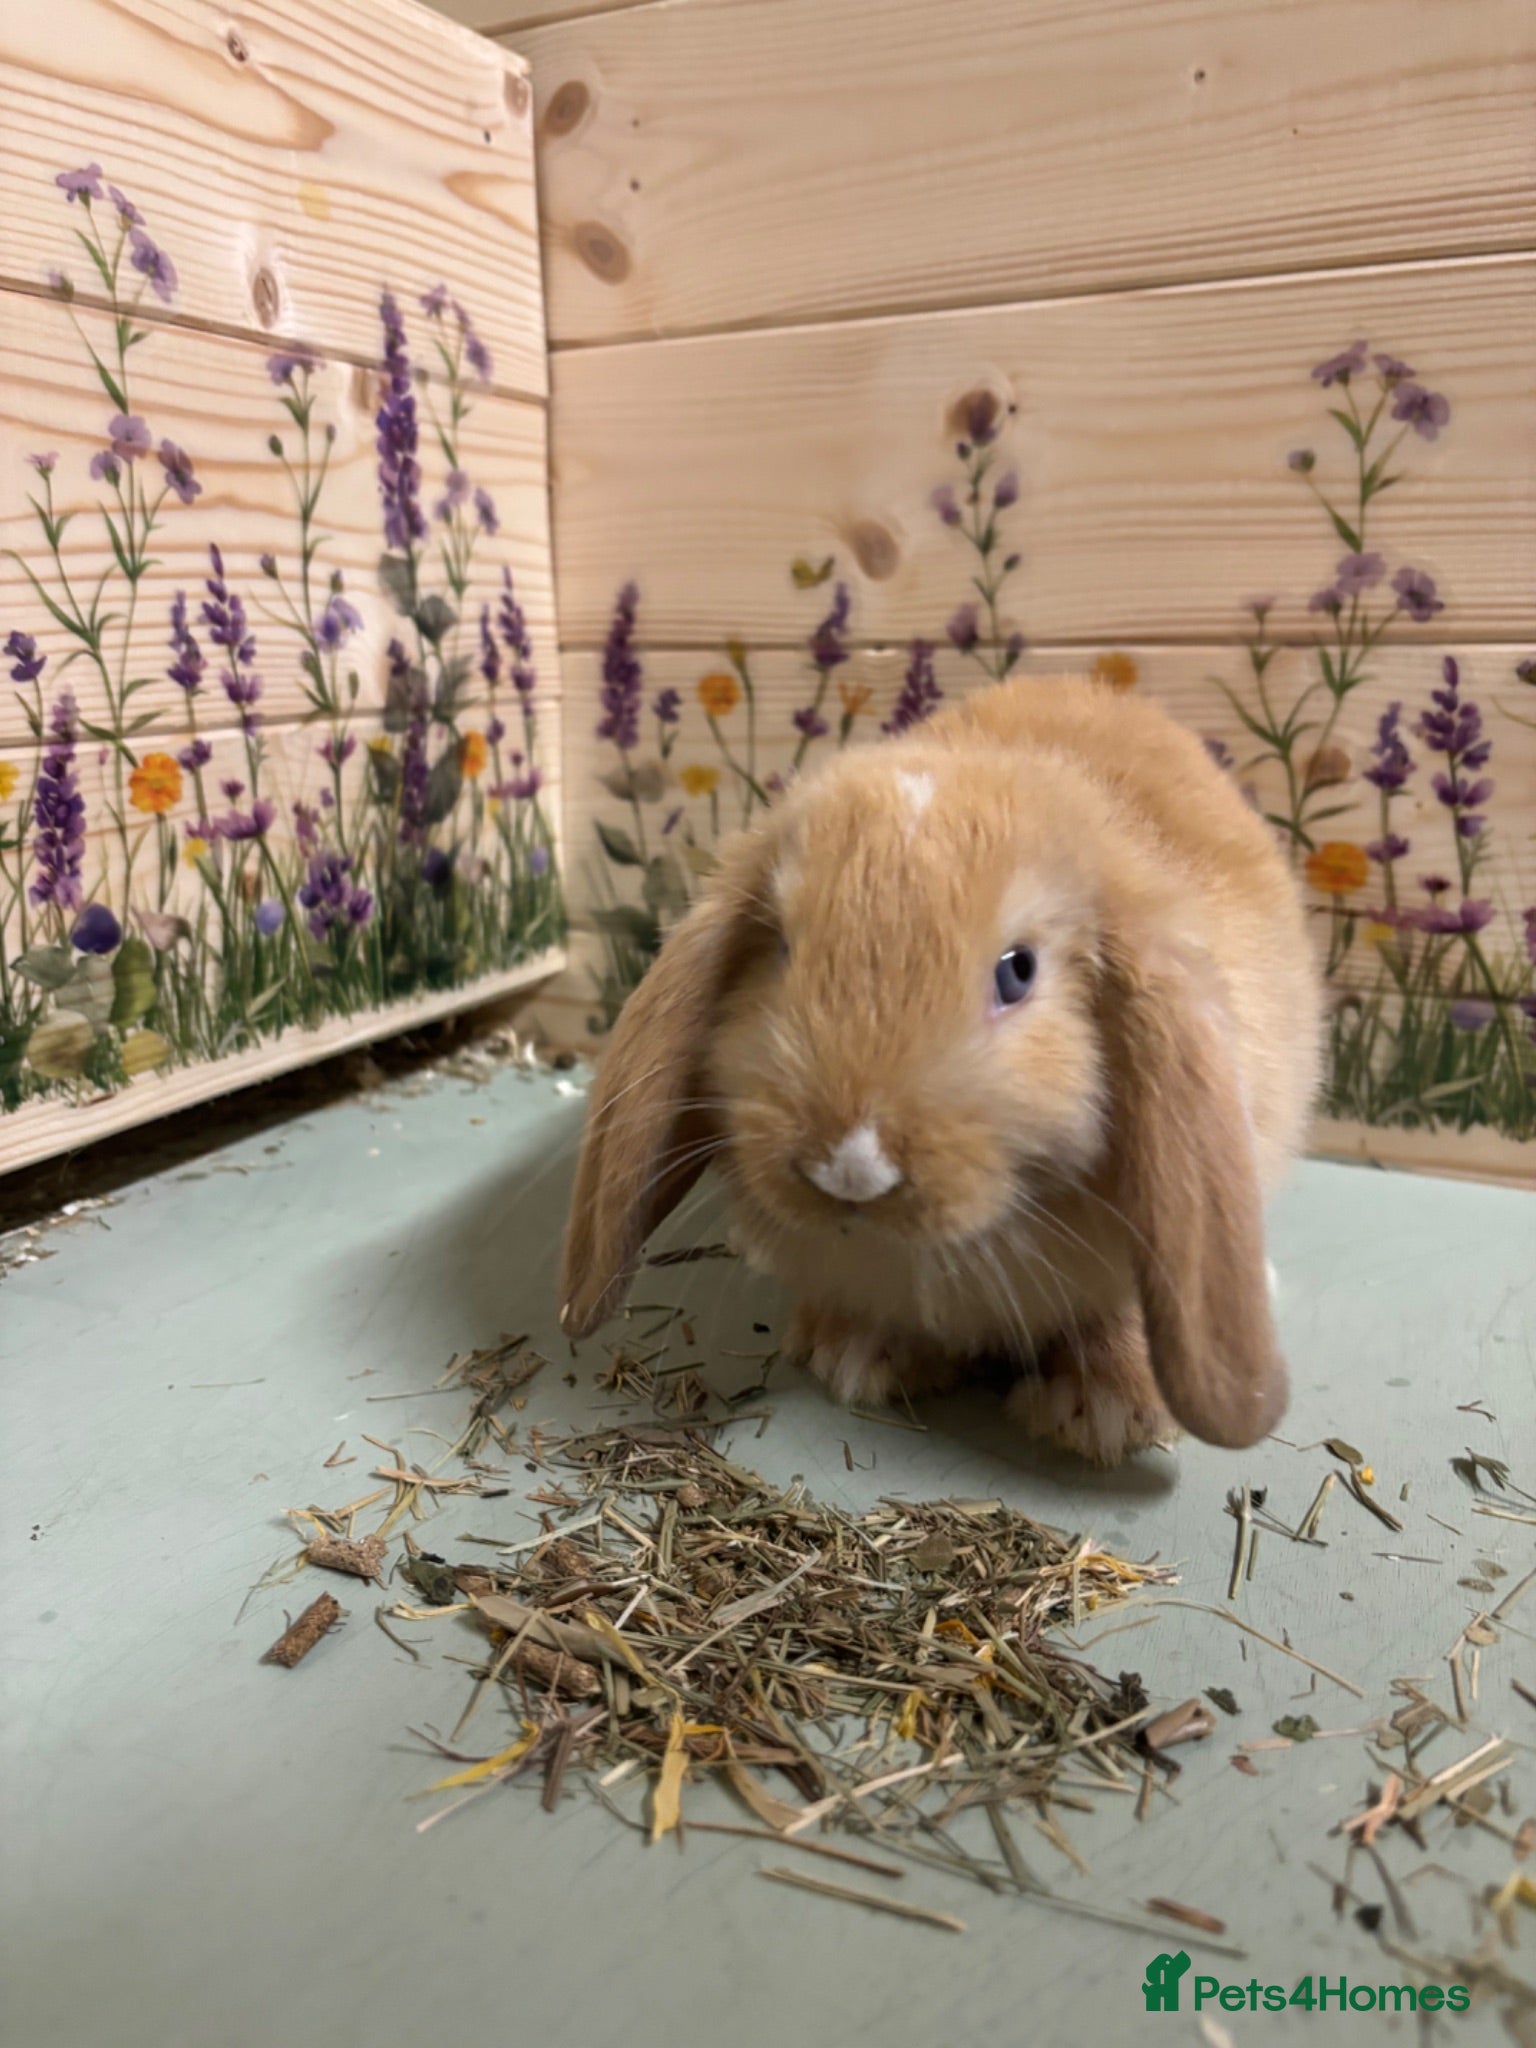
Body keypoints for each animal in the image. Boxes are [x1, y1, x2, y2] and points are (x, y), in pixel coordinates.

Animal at [560, 674, 1322, 1464]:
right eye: (782, 951)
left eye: (1018, 972)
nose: (850, 1168)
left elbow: (1120, 1315)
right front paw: (857, 1359)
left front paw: (1103, 1415)